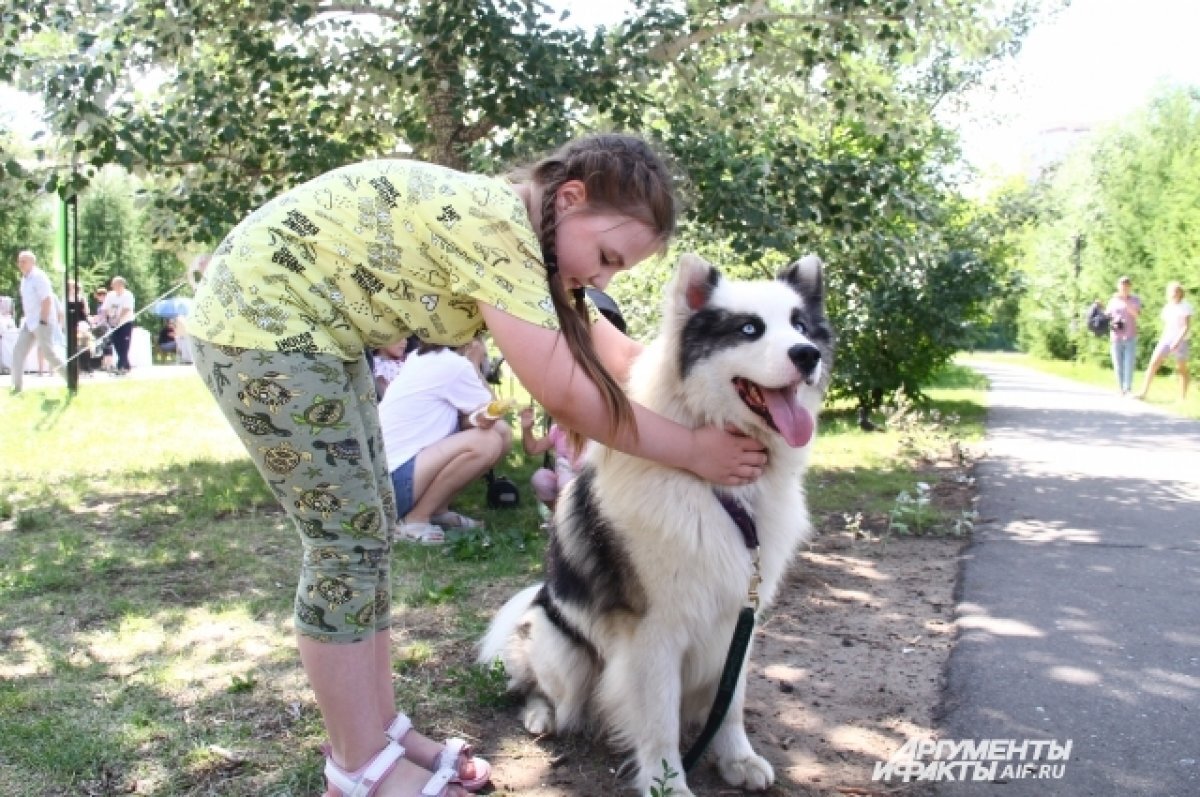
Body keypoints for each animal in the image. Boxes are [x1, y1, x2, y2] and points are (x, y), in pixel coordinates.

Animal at [477, 252, 835, 792]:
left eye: (800, 326)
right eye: (749, 329)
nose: (807, 355)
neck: (724, 492)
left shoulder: (739, 618)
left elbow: (730, 701)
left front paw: (737, 759)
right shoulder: (655, 630)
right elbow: (659, 718)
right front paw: (668, 783)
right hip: (563, 650)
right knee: (541, 690)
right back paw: (542, 716)